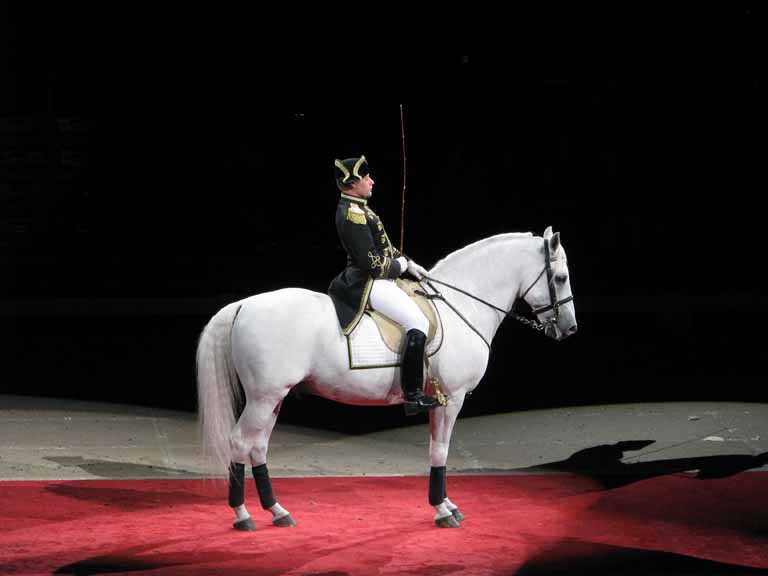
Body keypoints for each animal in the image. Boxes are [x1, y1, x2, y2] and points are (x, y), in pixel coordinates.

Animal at [196, 226, 576, 532]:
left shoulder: (441, 400)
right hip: (264, 397)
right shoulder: (451, 398)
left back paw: (277, 512)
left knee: (258, 446)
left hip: (274, 398)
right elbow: (440, 450)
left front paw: (447, 505)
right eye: (560, 278)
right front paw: (443, 510)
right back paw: (243, 516)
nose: (570, 329)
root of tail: (243, 305)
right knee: (240, 443)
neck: (460, 306)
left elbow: (436, 450)